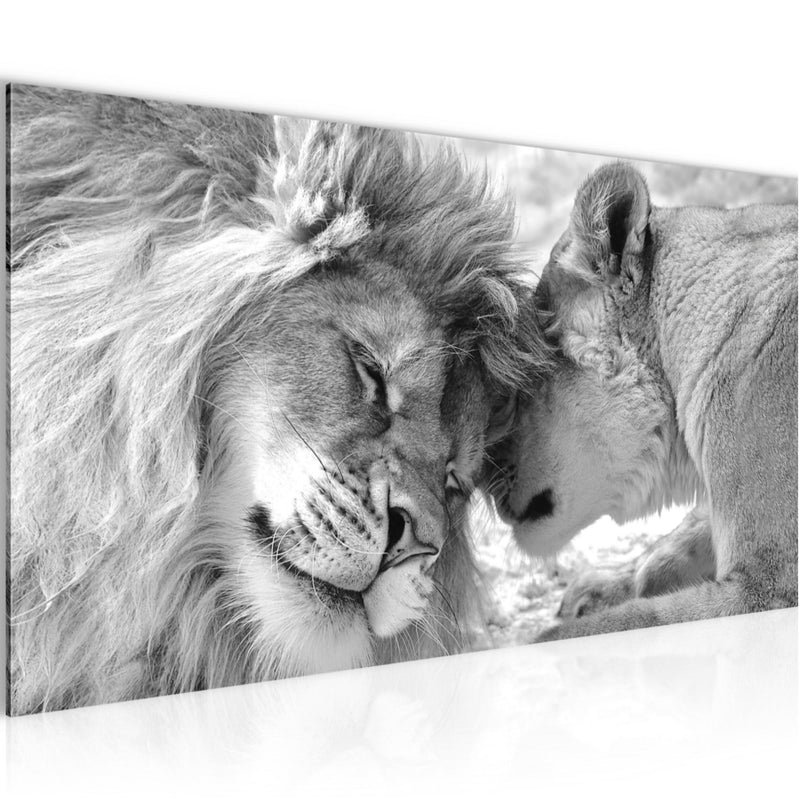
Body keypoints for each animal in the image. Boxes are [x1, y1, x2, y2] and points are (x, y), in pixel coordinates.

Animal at [488, 162, 798, 641]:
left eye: (519, 383)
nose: (481, 478)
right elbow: (670, 552)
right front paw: (604, 586)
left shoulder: (769, 587)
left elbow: (626, 624)